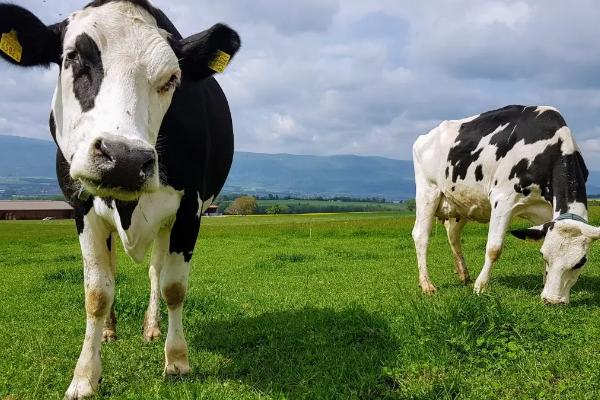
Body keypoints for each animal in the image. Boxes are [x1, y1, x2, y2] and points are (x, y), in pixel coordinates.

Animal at [0, 1, 239, 398]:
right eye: (72, 57)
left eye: (172, 78)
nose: (124, 159)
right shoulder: (82, 208)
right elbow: (97, 292)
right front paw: (85, 375)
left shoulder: (189, 209)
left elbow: (174, 286)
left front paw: (177, 360)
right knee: (112, 272)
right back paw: (110, 331)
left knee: (156, 271)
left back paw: (152, 328)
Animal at [412, 104, 600, 304]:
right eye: (545, 256)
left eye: (580, 262)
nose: (552, 301)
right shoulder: (502, 199)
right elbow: (494, 248)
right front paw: (480, 287)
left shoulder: (548, 213)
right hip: (427, 191)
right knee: (421, 236)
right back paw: (427, 285)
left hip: (460, 203)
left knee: (453, 235)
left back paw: (464, 275)